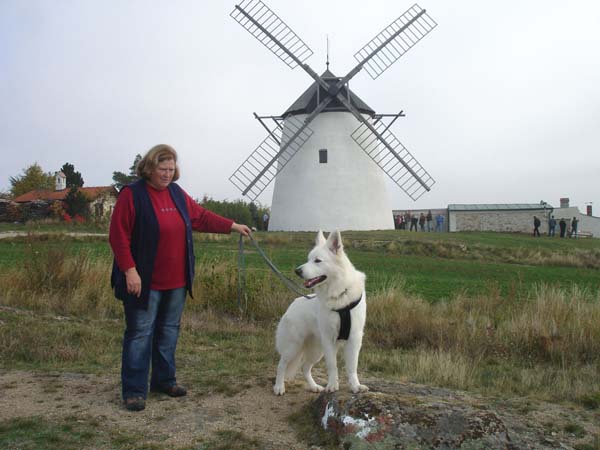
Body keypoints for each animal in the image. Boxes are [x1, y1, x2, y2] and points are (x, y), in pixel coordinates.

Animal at [273, 230, 368, 395]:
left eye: (317, 261)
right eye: (308, 259)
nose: (297, 271)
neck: (339, 294)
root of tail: (292, 305)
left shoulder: (354, 339)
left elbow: (352, 367)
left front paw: (355, 386)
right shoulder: (329, 340)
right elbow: (332, 366)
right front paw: (332, 386)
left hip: (316, 351)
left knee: (305, 367)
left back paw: (314, 387)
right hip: (294, 347)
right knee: (281, 365)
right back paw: (279, 387)